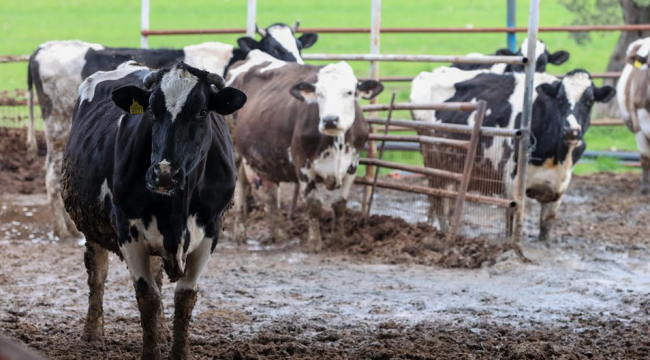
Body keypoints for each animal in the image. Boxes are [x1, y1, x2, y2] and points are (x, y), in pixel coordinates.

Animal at [27, 21, 316, 238]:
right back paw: (62, 229)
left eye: (299, 45)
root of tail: (41, 49)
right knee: (51, 175)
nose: (297, 65)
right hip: (57, 127)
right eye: (274, 47)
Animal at [60, 60, 246, 358]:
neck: (176, 209)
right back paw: (93, 333)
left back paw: (162, 331)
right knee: (97, 274)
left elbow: (184, 297)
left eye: (202, 111)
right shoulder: (128, 231)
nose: (164, 174)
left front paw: (177, 350)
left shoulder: (210, 231)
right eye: (151, 110)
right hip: (91, 225)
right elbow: (146, 295)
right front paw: (151, 350)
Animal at [227, 51, 382, 250]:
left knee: (271, 194)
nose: (330, 120)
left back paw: (277, 235)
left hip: (266, 157)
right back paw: (238, 233)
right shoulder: (303, 166)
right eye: (319, 93)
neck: (336, 144)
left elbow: (339, 205)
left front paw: (338, 240)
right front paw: (315, 242)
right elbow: (314, 204)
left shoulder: (352, 166)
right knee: (239, 190)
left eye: (350, 92)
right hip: (234, 151)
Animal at [410, 67, 612, 242]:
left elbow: (546, 225)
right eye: (560, 100)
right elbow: (512, 222)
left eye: (589, 100)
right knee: (437, 200)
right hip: (433, 162)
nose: (572, 131)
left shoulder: (559, 187)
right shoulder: (512, 180)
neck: (555, 157)